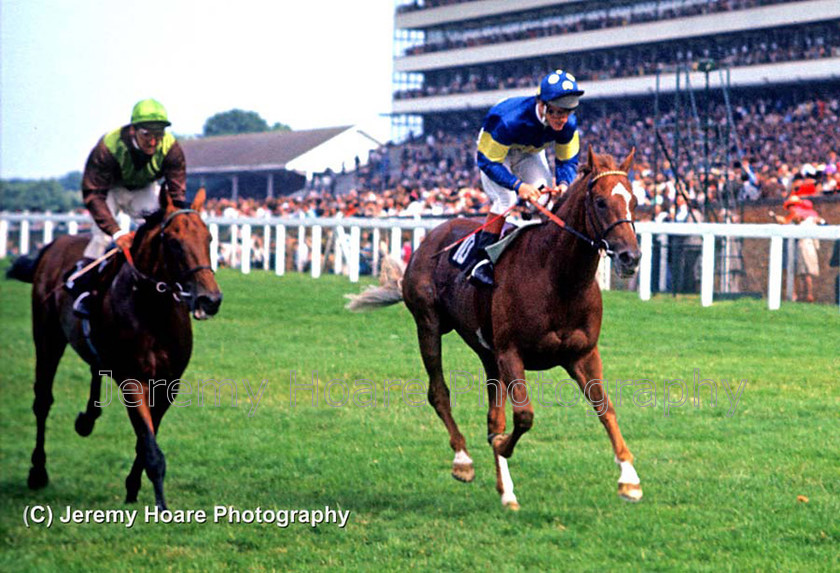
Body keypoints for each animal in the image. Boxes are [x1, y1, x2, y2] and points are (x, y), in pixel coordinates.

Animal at [7, 189, 223, 510]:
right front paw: (161, 505)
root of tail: (54, 244)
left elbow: (146, 440)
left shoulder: (169, 383)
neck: (153, 311)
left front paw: (133, 487)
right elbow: (151, 448)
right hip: (47, 338)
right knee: (42, 401)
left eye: (208, 238)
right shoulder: (134, 380)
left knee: (95, 369)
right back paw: (38, 471)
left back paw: (86, 420)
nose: (210, 299)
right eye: (173, 242)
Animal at [348, 147, 644, 510]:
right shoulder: (511, 353)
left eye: (635, 200)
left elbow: (605, 408)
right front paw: (501, 445)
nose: (631, 256)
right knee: (439, 392)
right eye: (600, 202)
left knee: (493, 416)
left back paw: (506, 491)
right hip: (429, 326)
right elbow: (524, 416)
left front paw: (629, 478)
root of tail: (433, 235)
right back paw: (463, 460)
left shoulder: (583, 354)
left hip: (488, 355)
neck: (558, 278)